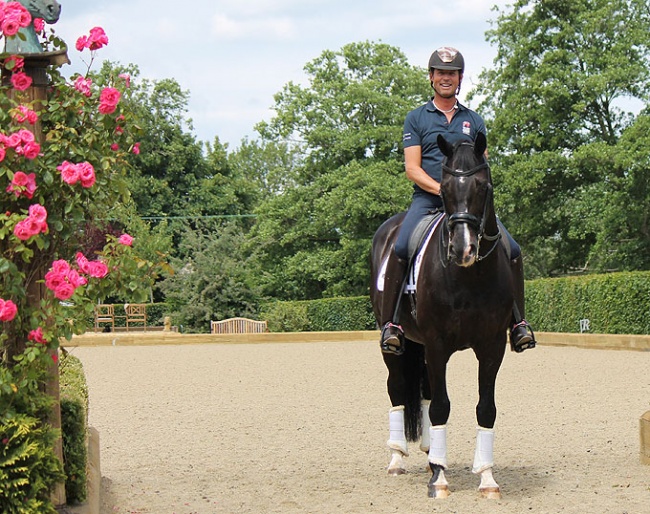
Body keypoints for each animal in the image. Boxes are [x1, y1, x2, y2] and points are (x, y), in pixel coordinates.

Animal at [370, 132, 512, 496]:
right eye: (444, 188)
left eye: (482, 186)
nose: (463, 249)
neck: (468, 277)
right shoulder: (436, 344)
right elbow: (441, 406)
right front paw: (440, 479)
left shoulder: (492, 347)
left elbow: (486, 408)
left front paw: (487, 478)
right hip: (396, 343)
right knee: (396, 387)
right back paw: (398, 458)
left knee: (423, 390)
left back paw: (430, 453)